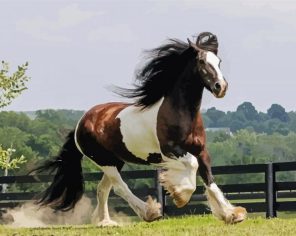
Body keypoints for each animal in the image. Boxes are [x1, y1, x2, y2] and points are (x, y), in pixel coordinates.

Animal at [33, 32, 247, 226]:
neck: (180, 113)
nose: (221, 87)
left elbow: (210, 180)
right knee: (119, 187)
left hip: (114, 161)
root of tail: (81, 123)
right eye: (202, 62)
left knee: (103, 189)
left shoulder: (201, 151)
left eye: (218, 62)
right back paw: (149, 212)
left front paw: (232, 215)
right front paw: (180, 194)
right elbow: (192, 167)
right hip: (104, 161)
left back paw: (106, 222)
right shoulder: (171, 150)